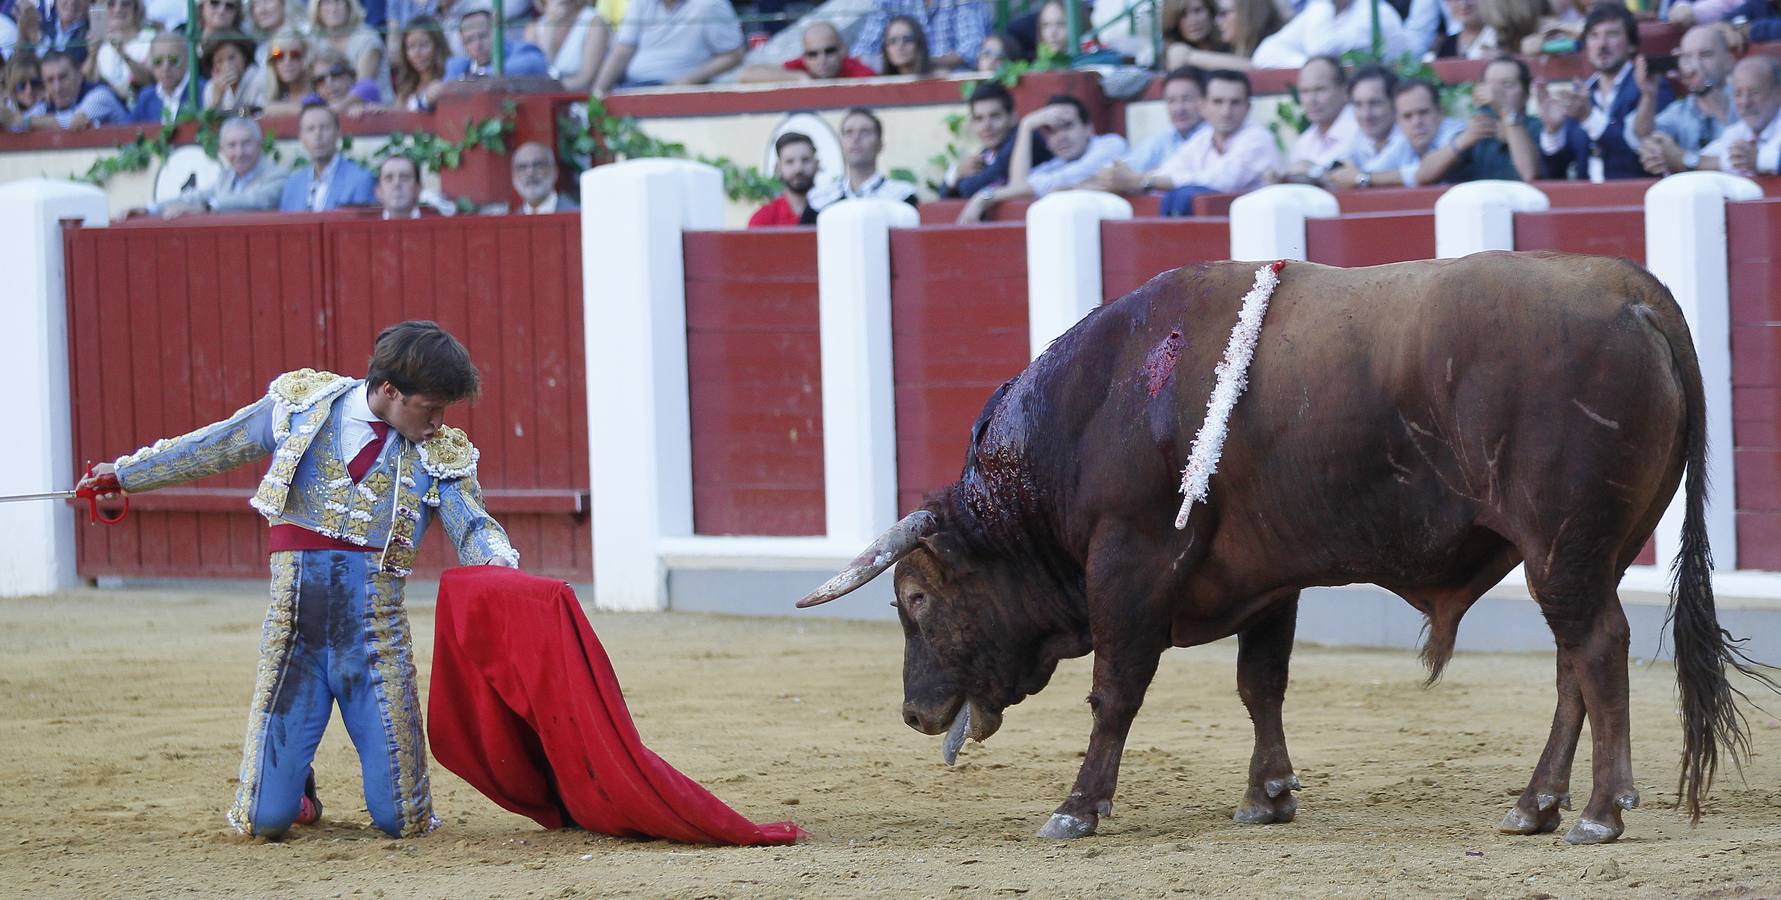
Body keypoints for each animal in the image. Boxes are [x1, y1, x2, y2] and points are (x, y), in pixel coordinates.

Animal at [801, 251, 1773, 841]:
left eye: (916, 599)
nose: (914, 713)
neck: (1091, 410)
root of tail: (1632, 292)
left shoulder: (1129, 564)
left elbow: (1114, 691)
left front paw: (1077, 808)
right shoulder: (1264, 582)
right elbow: (1258, 684)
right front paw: (1265, 797)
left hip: (1563, 548)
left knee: (1596, 650)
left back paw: (1598, 814)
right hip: (1586, 554)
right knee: (1574, 663)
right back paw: (1533, 806)